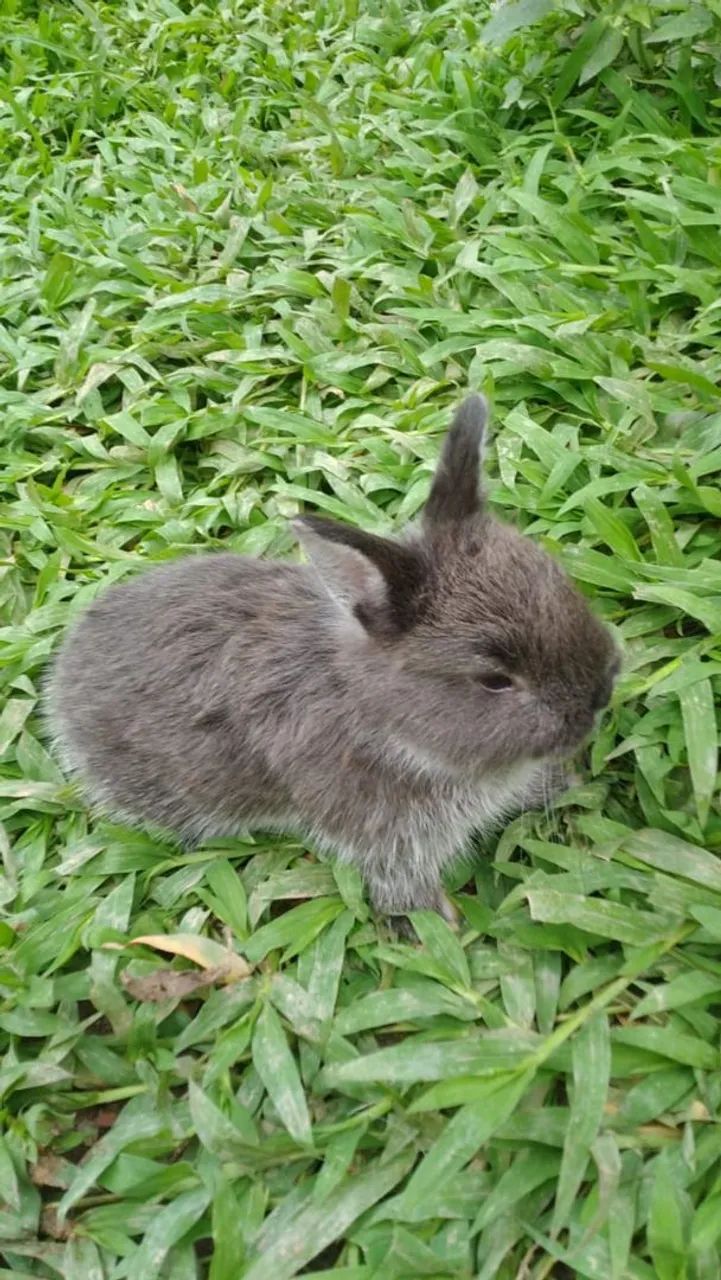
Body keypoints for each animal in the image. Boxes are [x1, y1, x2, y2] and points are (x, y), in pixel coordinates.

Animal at [47, 395, 619, 924]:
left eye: (561, 584)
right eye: (495, 680)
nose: (601, 693)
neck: (383, 719)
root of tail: (64, 675)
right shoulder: (388, 837)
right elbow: (401, 884)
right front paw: (436, 928)